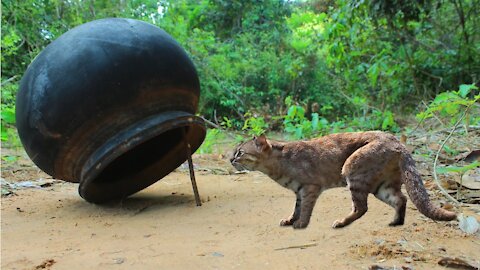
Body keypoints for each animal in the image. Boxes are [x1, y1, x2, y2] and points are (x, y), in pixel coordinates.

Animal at [231, 132, 456, 229]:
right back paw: (396, 222)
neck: (280, 161)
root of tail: (397, 142)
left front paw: (301, 224)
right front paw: (290, 220)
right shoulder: (299, 191)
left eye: (240, 152)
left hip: (352, 169)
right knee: (400, 199)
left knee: (362, 207)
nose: (230, 159)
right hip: (382, 185)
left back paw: (341, 222)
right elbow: (296, 208)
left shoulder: (310, 187)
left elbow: (305, 208)